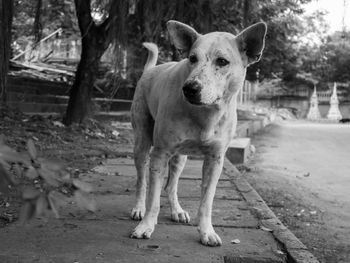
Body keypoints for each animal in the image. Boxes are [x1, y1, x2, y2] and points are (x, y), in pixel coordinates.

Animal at [130, 20, 266, 248]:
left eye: (222, 61)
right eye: (192, 58)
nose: (190, 88)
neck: (205, 113)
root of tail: (150, 70)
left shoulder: (215, 160)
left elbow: (206, 202)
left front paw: (206, 232)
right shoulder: (160, 154)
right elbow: (153, 199)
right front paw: (146, 226)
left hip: (180, 158)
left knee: (172, 185)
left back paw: (177, 211)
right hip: (141, 142)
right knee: (141, 181)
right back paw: (138, 208)